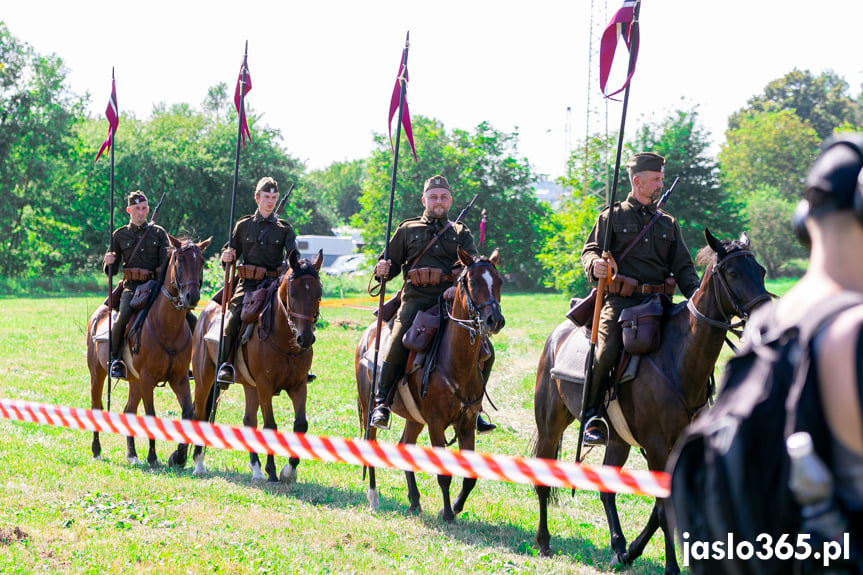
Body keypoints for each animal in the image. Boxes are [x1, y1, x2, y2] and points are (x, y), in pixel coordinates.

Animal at [85, 234, 213, 468]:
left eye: (201, 262)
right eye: (180, 261)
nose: (191, 297)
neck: (167, 327)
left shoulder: (179, 378)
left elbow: (188, 412)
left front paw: (179, 456)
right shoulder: (147, 379)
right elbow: (151, 415)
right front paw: (153, 456)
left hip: (134, 381)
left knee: (128, 411)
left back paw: (132, 454)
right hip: (98, 373)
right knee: (96, 405)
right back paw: (97, 450)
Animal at [190, 250, 324, 484]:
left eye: (318, 294)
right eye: (293, 293)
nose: (305, 338)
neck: (285, 341)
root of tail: (207, 312)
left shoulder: (299, 386)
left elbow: (300, 424)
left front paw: (289, 469)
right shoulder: (265, 386)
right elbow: (270, 425)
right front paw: (272, 470)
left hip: (249, 386)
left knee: (249, 421)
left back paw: (256, 469)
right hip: (204, 378)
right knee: (199, 413)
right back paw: (199, 463)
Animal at [356, 248, 506, 520]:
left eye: (498, 281)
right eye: (472, 282)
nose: (494, 320)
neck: (456, 361)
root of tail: (367, 335)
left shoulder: (466, 423)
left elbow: (470, 477)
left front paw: (455, 507)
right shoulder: (436, 423)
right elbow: (443, 475)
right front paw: (446, 513)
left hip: (415, 418)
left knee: (405, 445)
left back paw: (414, 500)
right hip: (369, 405)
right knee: (371, 443)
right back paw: (373, 497)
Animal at [532, 231, 768, 575]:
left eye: (761, 272)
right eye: (734, 273)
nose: (767, 319)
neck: (678, 358)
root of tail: (556, 336)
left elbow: (660, 508)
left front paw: (630, 552)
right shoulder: (656, 447)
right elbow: (664, 507)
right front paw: (670, 566)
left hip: (617, 441)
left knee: (606, 490)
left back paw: (618, 546)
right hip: (550, 426)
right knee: (542, 479)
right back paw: (544, 541)